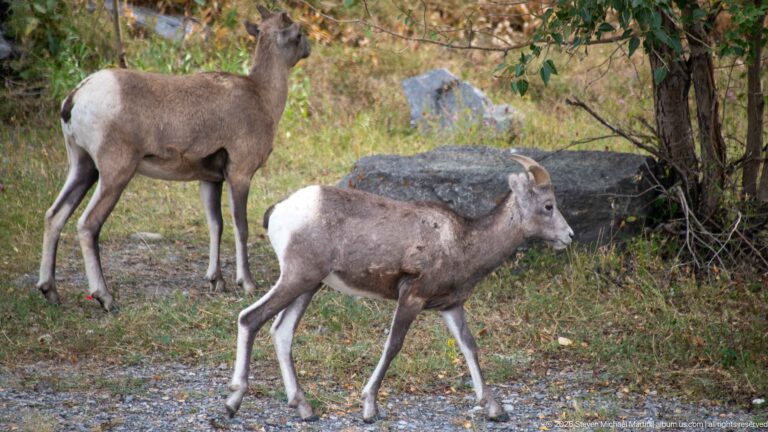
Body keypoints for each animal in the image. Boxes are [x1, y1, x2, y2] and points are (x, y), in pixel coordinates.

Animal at [36, 6, 309, 311]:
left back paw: (50, 291)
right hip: (115, 174)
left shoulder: (210, 180)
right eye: (299, 34)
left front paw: (217, 281)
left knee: (54, 216)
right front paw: (247, 284)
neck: (262, 96)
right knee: (87, 225)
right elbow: (241, 227)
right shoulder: (239, 175)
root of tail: (74, 98)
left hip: (83, 168)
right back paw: (105, 297)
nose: (308, 48)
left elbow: (216, 225)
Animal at [224, 154, 574, 422]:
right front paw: (369, 408)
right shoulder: (412, 298)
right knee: (249, 318)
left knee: (281, 332)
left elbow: (470, 348)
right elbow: (393, 345)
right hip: (297, 278)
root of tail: (278, 211)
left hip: (309, 286)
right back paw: (233, 403)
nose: (568, 236)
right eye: (548, 206)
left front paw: (494, 409)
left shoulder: (450, 307)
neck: (463, 242)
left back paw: (305, 409)